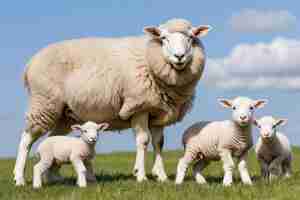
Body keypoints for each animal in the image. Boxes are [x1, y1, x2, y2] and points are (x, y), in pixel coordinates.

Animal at [13, 18, 211, 185]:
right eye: (163, 38)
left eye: (191, 38)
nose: (179, 56)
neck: (149, 58)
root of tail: (29, 64)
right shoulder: (139, 106)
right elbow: (143, 141)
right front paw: (141, 175)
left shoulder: (159, 110)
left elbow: (159, 142)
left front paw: (160, 175)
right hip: (44, 103)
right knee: (26, 140)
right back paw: (19, 178)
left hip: (63, 115)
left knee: (54, 139)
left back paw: (53, 177)